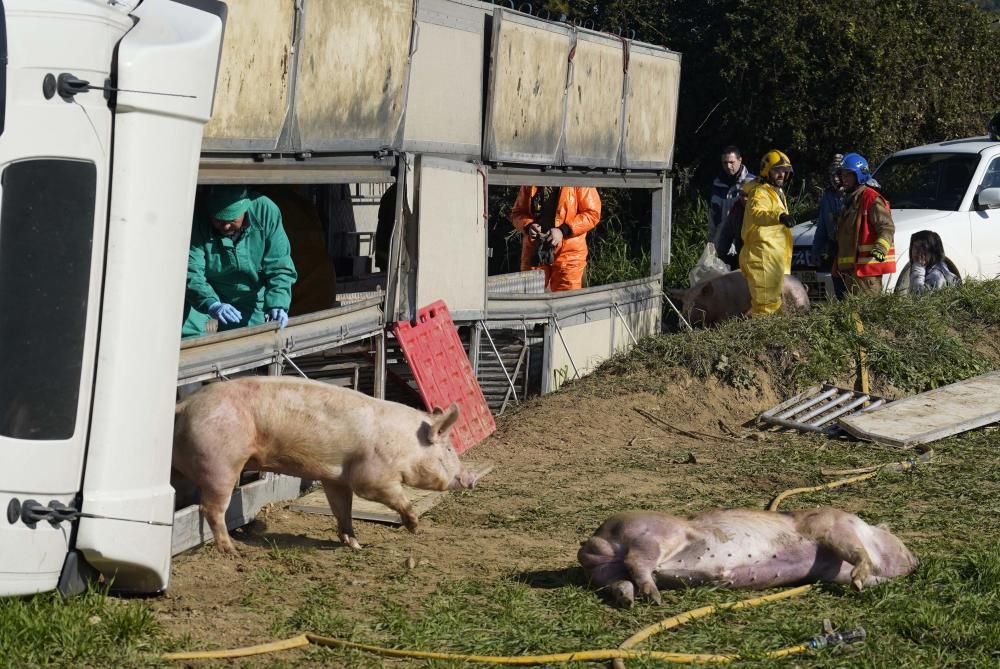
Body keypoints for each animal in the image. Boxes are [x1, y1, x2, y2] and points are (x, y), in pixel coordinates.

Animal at [171, 376, 476, 552]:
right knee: (210, 508)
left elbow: (342, 508)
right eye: (449, 448)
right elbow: (392, 496)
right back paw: (233, 551)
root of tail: (184, 406)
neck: (404, 444)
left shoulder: (336, 477)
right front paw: (414, 527)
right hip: (221, 463)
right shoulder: (372, 477)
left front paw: (355, 545)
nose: (471, 477)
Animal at [576, 506, 916, 604]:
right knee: (637, 561)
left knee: (618, 578)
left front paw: (865, 585)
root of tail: (595, 539)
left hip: (603, 571)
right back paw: (654, 598)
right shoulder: (831, 525)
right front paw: (861, 579)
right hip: (652, 536)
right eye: (903, 544)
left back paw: (629, 599)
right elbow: (856, 551)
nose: (918, 561)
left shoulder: (831, 571)